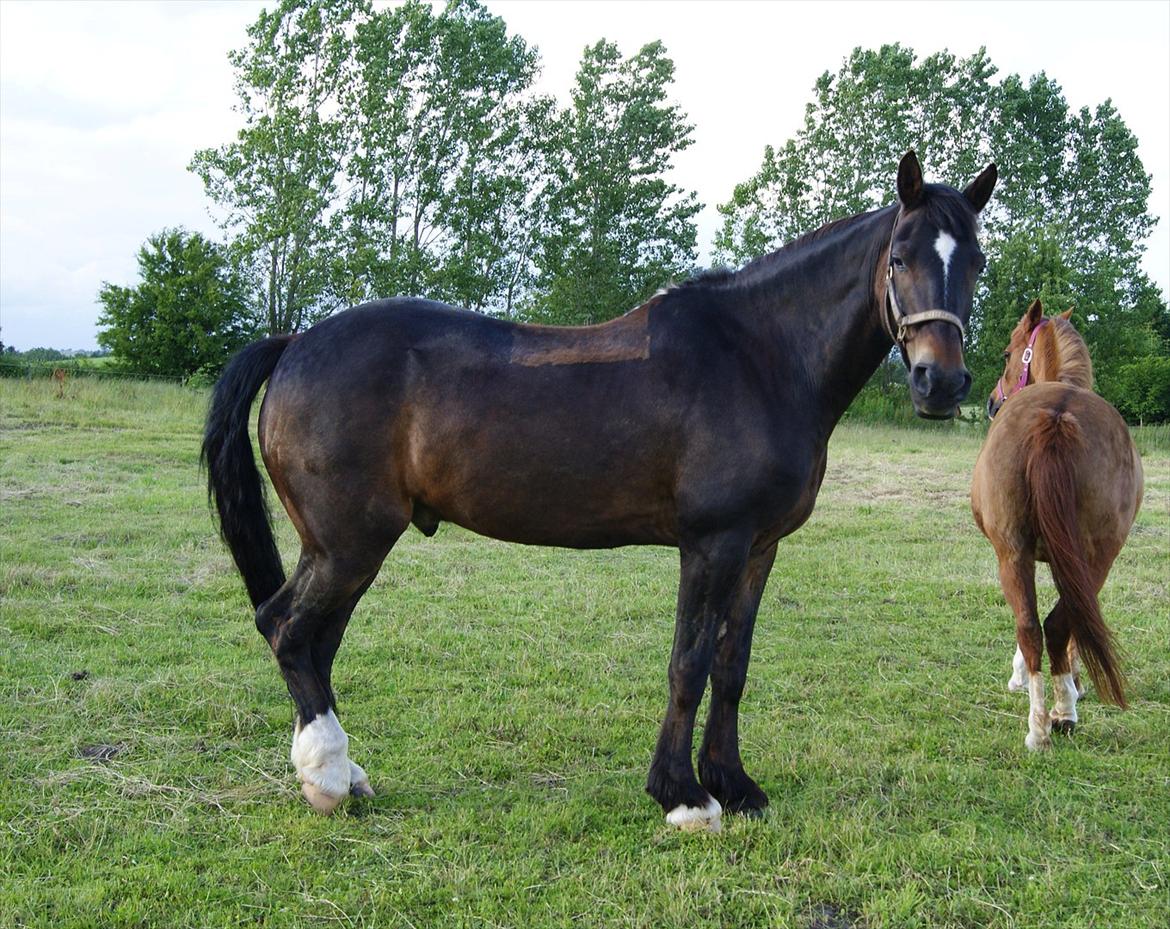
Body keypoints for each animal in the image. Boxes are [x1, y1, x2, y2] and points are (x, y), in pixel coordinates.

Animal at [205, 149, 992, 823]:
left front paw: (735, 784)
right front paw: (683, 796)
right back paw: (327, 778)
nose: (941, 382)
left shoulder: (759, 548)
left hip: (344, 549)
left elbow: (732, 665)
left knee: (316, 643)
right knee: (286, 628)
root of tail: (297, 343)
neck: (760, 358)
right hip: (348, 543)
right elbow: (689, 663)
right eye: (900, 258)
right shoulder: (713, 544)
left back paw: (345, 774)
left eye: (977, 262)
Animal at [968, 299, 1141, 748]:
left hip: (1017, 553)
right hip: (1094, 557)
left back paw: (1044, 722)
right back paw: (1059, 715)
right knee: (1056, 622)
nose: (992, 402)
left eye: (1007, 354)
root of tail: (1057, 415)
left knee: (1036, 626)